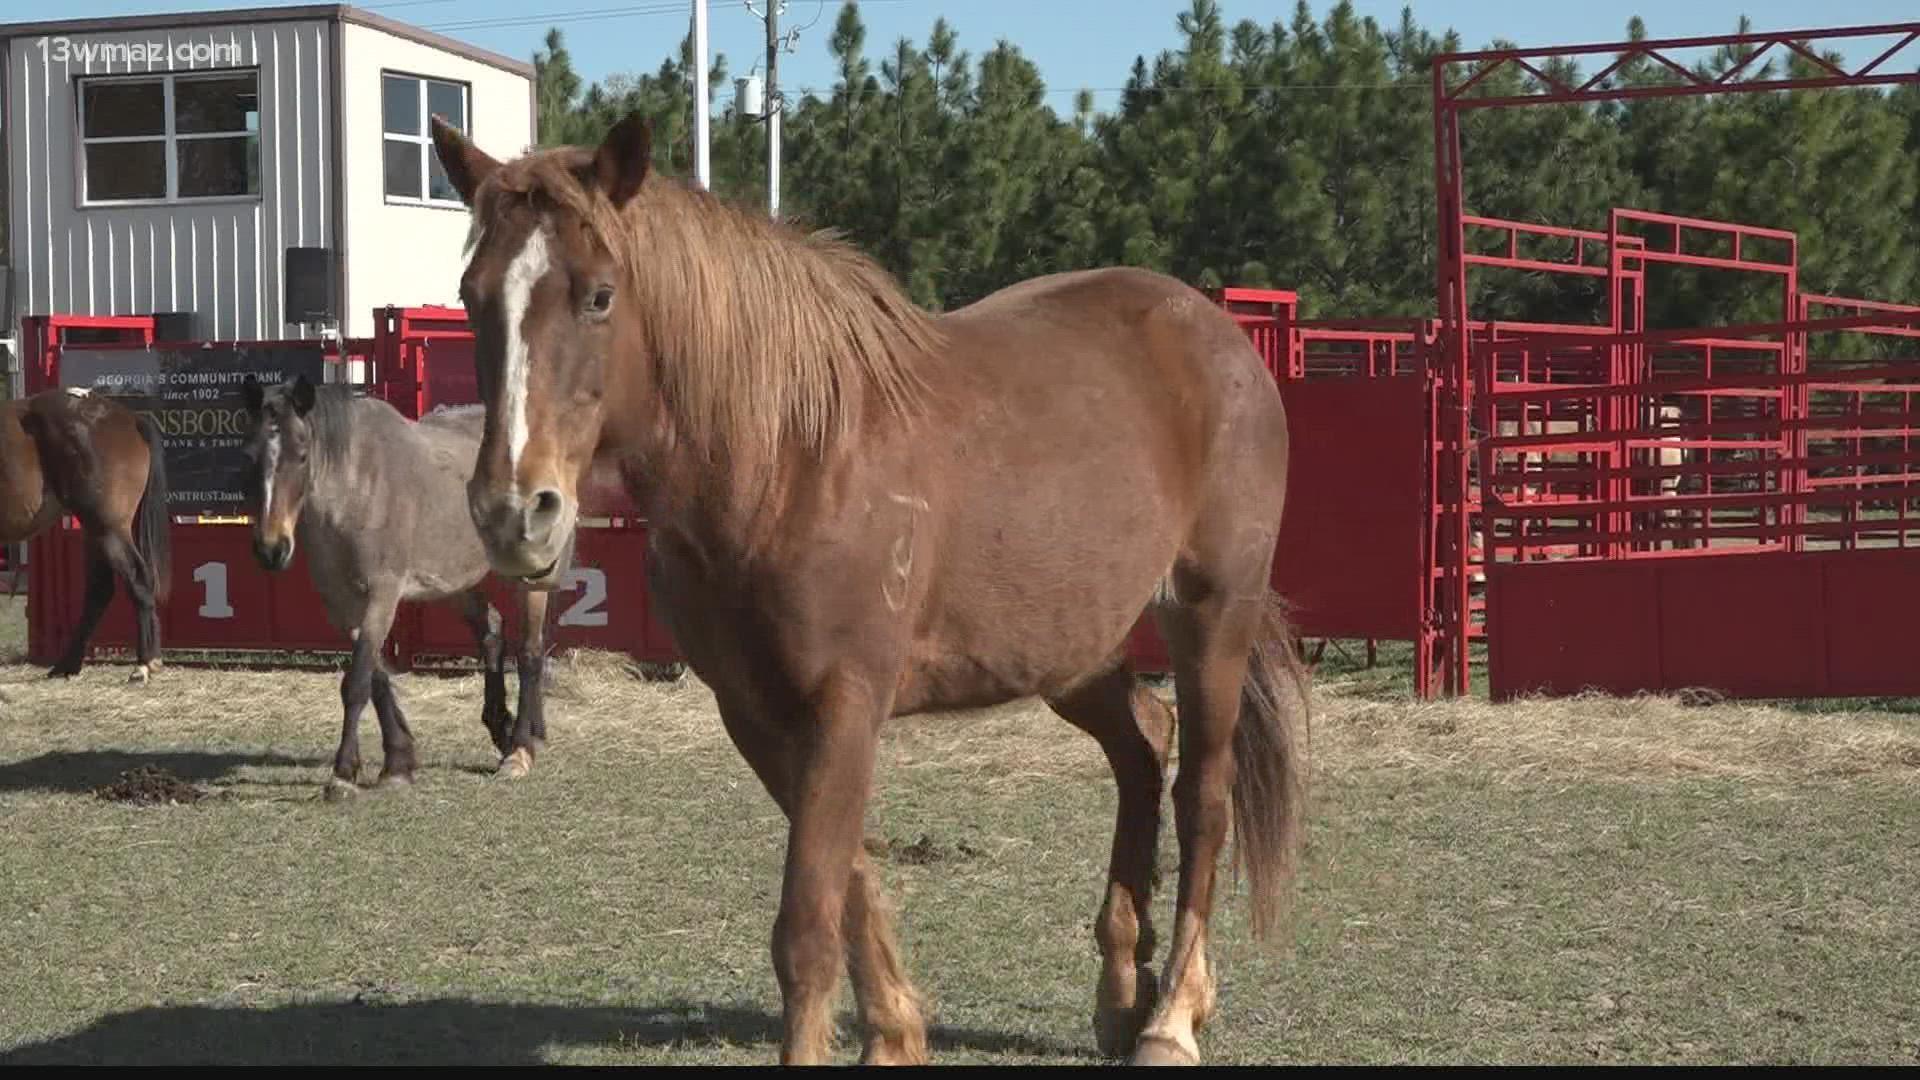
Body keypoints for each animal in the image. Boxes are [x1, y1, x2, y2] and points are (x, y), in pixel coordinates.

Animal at [0, 384, 170, 680]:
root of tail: (130, 418)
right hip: (94, 532)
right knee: (99, 590)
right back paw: (66, 664)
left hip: (107, 528)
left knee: (137, 579)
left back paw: (143, 663)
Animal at [243, 374, 564, 795]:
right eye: (249, 456)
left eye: (301, 454)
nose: (271, 548)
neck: (357, 488)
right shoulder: (342, 604)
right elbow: (376, 677)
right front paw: (398, 761)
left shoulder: (383, 594)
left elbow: (357, 682)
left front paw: (343, 773)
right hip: (455, 580)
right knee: (492, 633)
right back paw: (507, 728)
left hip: (530, 575)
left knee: (530, 651)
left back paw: (521, 749)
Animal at [430, 111, 1313, 1060]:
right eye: (473, 296)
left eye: (599, 295)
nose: (514, 511)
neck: (789, 457)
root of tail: (1218, 335)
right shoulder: (759, 713)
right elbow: (848, 885)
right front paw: (894, 1031)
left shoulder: (845, 703)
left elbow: (808, 926)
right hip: (1072, 650)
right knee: (1143, 748)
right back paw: (1122, 991)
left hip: (1212, 616)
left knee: (1204, 794)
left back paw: (1173, 1015)